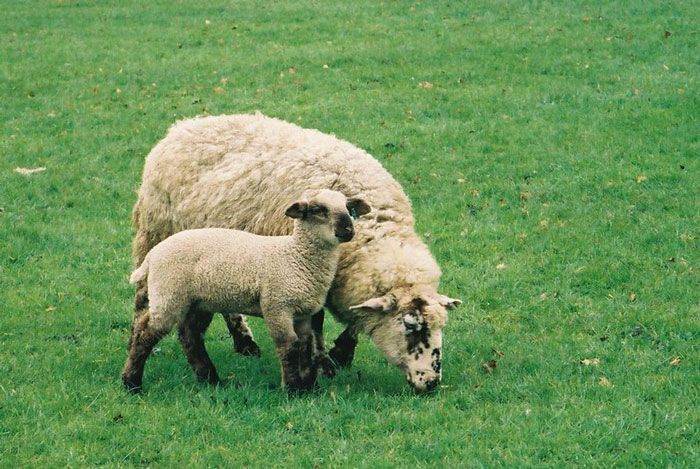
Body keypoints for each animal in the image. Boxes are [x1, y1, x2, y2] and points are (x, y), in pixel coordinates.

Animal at [121, 188, 372, 394]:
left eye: (348, 208)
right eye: (319, 210)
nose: (348, 229)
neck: (295, 256)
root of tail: (154, 254)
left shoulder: (303, 312)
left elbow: (305, 346)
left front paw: (310, 386)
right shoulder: (277, 305)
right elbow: (289, 346)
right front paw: (293, 389)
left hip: (198, 300)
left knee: (189, 335)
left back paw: (210, 379)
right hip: (169, 293)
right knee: (146, 332)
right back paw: (131, 383)